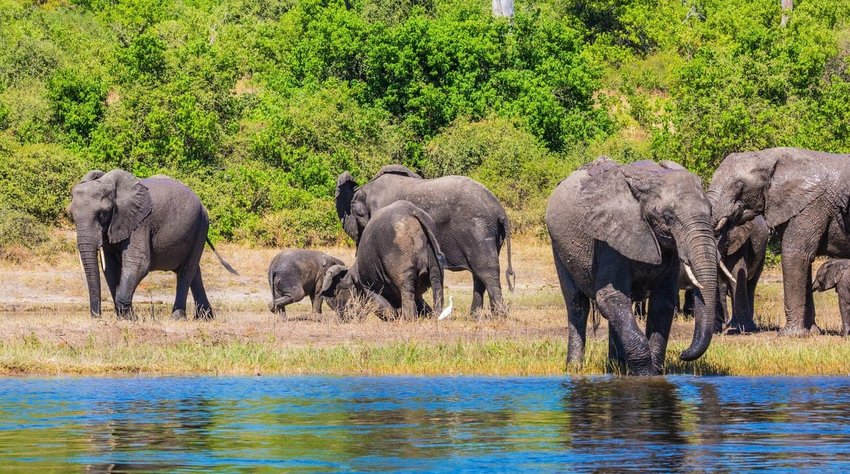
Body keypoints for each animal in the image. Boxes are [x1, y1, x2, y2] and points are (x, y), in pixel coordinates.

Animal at [68, 168, 235, 320]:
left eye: (102, 214)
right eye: (72, 215)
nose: (97, 316)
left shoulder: (140, 222)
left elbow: (138, 262)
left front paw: (131, 319)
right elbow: (110, 268)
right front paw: (123, 317)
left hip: (200, 226)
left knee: (186, 271)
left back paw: (178, 318)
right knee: (194, 272)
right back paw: (205, 318)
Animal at [334, 165, 512, 316]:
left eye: (358, 215)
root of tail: (499, 210)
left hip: (478, 229)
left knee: (486, 270)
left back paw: (499, 316)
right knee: (478, 274)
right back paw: (476, 316)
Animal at [548, 158, 720, 374]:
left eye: (711, 213)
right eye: (669, 218)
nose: (682, 353)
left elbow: (662, 302)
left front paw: (655, 372)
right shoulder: (609, 240)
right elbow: (609, 297)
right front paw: (645, 375)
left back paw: (616, 366)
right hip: (558, 246)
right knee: (577, 304)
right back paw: (575, 368)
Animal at [704, 146, 848, 336]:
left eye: (739, 186)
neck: (770, 157)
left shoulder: (810, 206)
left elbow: (794, 255)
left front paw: (790, 335)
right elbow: (804, 260)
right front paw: (812, 332)